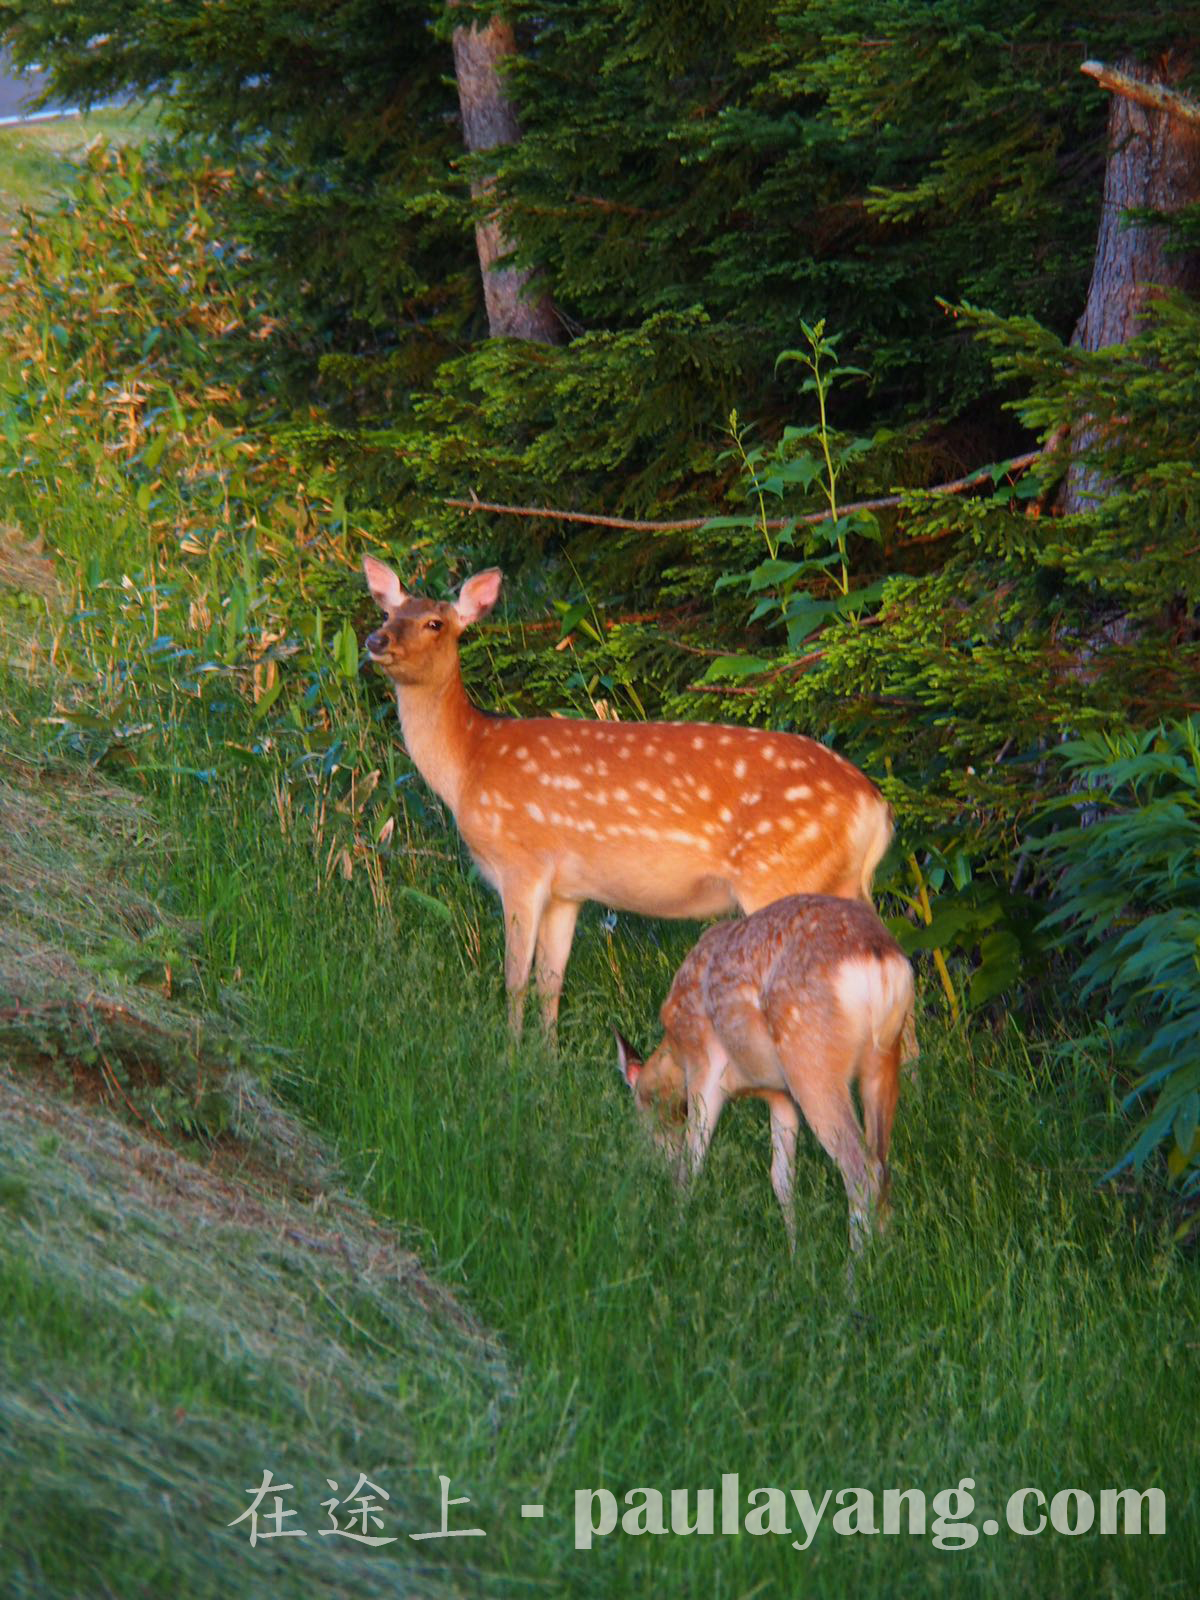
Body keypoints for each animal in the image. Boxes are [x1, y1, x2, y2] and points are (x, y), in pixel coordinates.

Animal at [362, 555, 894, 1037]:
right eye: (387, 613)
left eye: (434, 622)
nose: (375, 640)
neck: (470, 762)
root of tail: (874, 807)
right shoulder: (567, 892)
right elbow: (549, 982)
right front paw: (545, 1057)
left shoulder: (522, 864)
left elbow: (514, 978)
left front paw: (509, 1054)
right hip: (844, 887)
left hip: (784, 874)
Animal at [614, 894, 914, 1256]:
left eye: (638, 1115)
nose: (649, 1167)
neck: (676, 1050)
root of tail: (879, 960)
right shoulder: (779, 1095)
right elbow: (781, 1178)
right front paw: (794, 1253)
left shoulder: (706, 1069)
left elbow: (692, 1161)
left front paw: (676, 1236)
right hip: (883, 1059)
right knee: (883, 1166)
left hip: (811, 1061)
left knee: (861, 1169)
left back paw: (854, 1268)